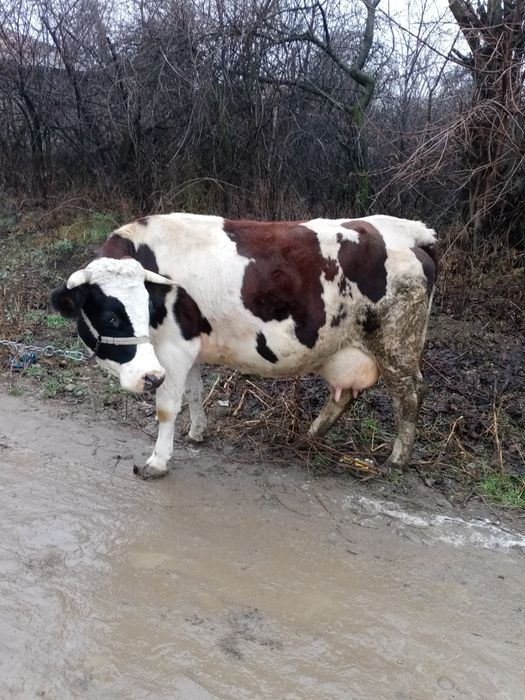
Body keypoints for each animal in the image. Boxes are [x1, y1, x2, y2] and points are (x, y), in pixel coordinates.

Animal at [50, 213, 438, 479]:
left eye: (145, 309)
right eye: (111, 316)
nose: (149, 376)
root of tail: (406, 230)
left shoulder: (173, 348)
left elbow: (167, 408)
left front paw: (158, 461)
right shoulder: (190, 345)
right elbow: (194, 392)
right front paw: (198, 432)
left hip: (397, 343)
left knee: (410, 394)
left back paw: (396, 460)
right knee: (344, 396)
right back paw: (310, 435)